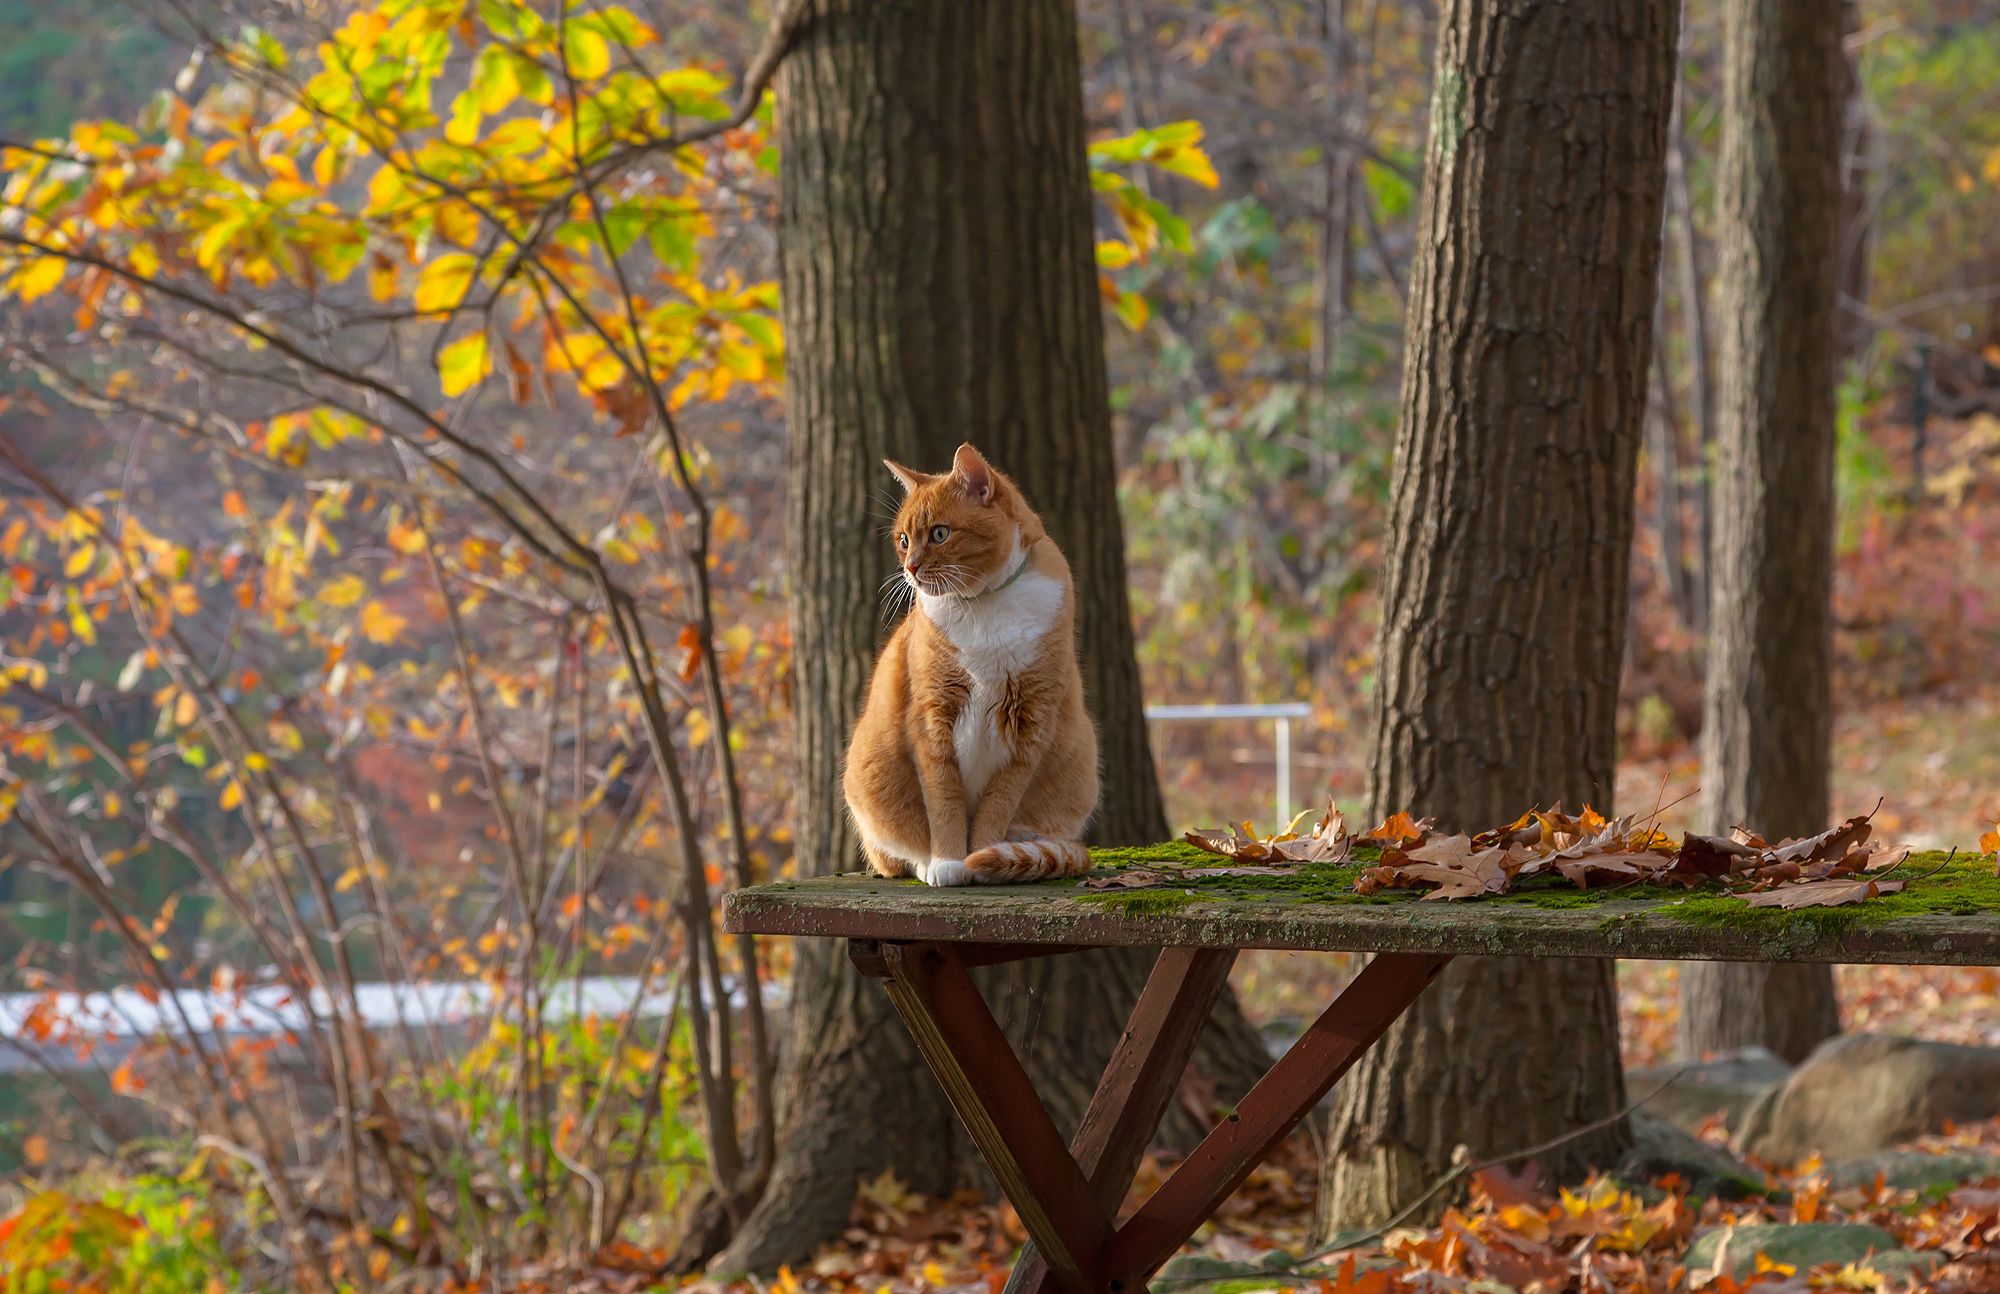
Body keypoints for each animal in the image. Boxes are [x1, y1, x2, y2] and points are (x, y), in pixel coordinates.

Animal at [840, 440, 1104, 884]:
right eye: (903, 539)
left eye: (940, 533)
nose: (910, 568)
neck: (984, 604)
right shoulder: (933, 717)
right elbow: (943, 799)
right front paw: (947, 861)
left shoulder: (1032, 722)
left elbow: (998, 805)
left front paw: (983, 856)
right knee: (895, 855)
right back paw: (924, 862)